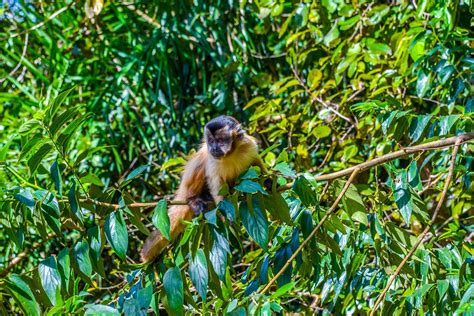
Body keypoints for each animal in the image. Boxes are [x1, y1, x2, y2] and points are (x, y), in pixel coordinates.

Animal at [143, 115, 264, 262]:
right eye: (211, 141)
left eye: (219, 141)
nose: (213, 148)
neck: (232, 153)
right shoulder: (213, 160)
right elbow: (216, 184)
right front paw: (227, 217)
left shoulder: (249, 145)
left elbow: (256, 164)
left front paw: (269, 182)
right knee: (199, 163)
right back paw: (194, 200)